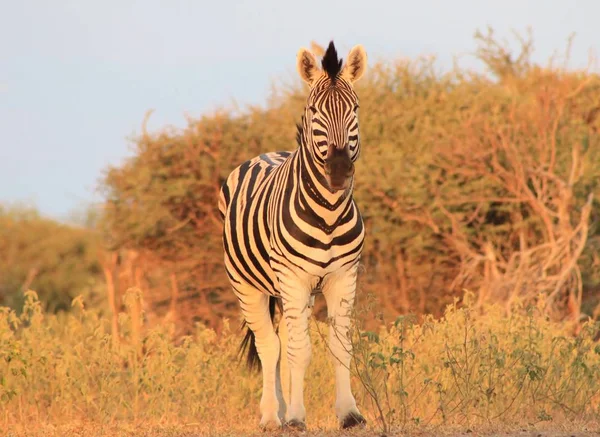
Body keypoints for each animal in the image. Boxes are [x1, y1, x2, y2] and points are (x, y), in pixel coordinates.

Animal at [218, 41, 368, 430]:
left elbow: (339, 347)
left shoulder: (344, 276)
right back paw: (273, 416)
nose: (338, 169)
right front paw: (298, 418)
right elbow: (300, 352)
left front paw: (349, 413)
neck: (328, 213)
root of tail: (266, 153)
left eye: (355, 109)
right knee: (270, 346)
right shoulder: (294, 277)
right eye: (314, 111)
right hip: (248, 285)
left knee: (284, 340)